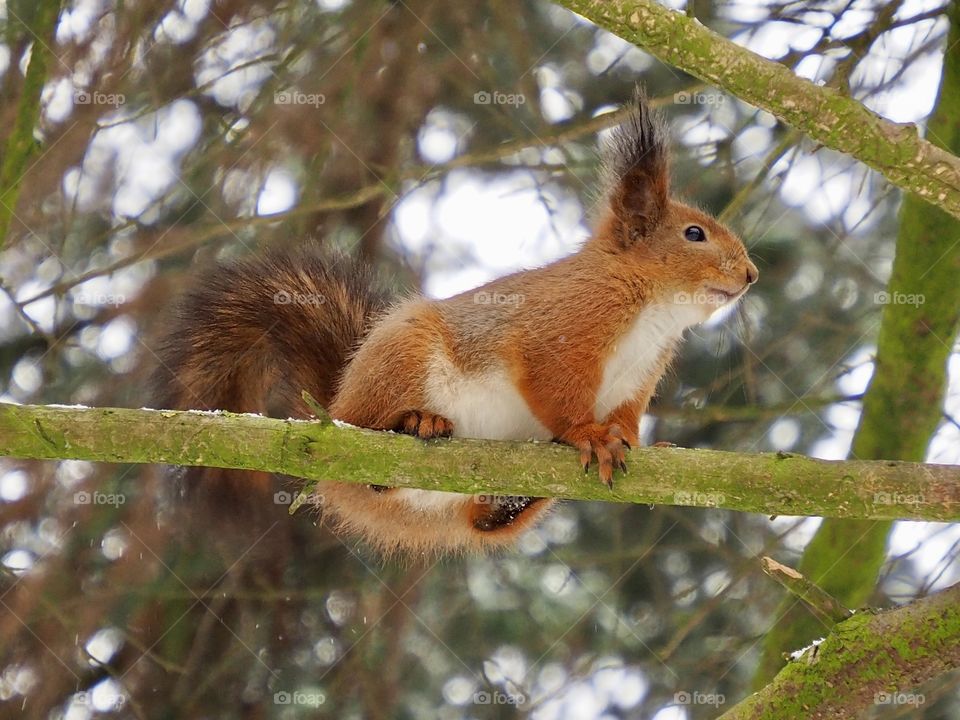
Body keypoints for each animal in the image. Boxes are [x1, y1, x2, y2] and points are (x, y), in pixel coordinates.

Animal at [152, 89, 758, 556]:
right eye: (694, 234)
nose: (751, 274)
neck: (653, 311)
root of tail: (333, 410)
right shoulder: (559, 332)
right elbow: (556, 391)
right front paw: (587, 434)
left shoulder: (638, 378)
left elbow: (627, 416)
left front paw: (636, 441)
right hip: (401, 361)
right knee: (370, 445)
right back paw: (414, 423)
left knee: (481, 522)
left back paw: (516, 500)